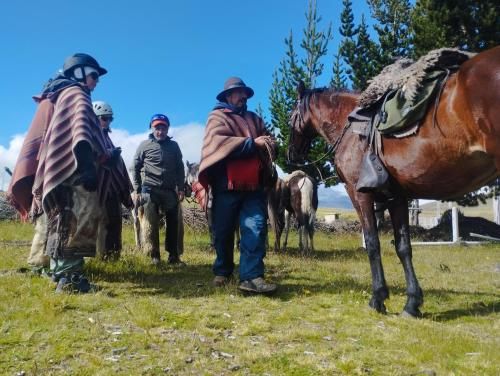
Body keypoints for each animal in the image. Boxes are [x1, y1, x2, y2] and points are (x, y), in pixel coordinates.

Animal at [288, 46, 500, 318]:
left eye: (293, 115)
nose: (292, 154)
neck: (349, 126)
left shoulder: (360, 194)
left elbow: (372, 243)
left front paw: (378, 298)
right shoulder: (396, 197)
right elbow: (403, 246)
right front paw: (412, 303)